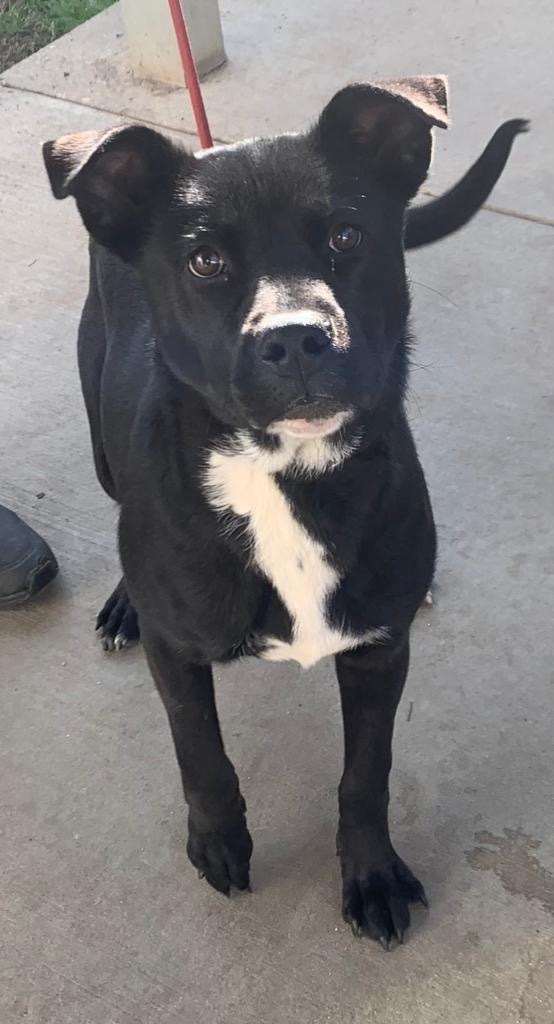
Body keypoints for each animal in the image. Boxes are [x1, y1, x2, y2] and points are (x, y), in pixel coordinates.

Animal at [44, 75, 528, 946]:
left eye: (346, 234)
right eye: (205, 260)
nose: (298, 339)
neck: (286, 474)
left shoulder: (378, 656)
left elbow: (365, 775)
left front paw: (371, 875)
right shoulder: (177, 655)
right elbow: (199, 753)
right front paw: (219, 840)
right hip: (100, 439)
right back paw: (124, 603)